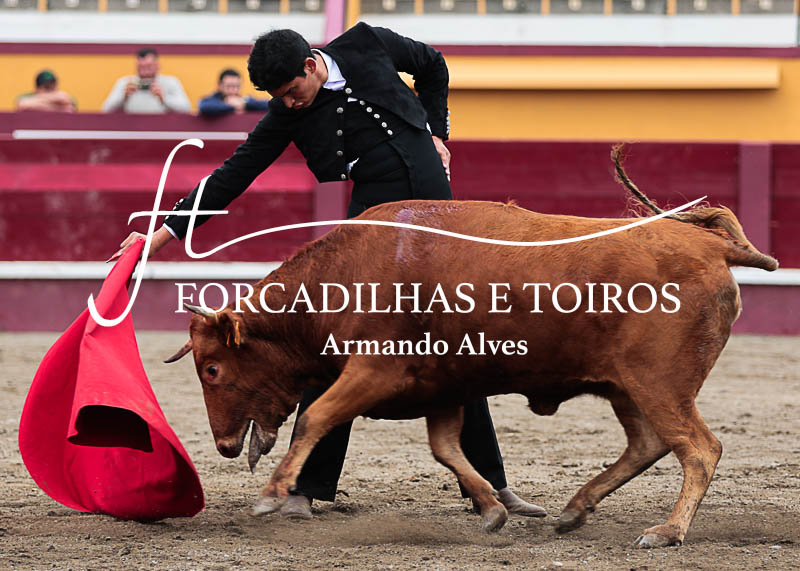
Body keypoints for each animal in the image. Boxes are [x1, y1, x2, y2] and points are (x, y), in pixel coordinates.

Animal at [166, 154, 777, 548]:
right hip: (625, 385)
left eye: (213, 369)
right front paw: (490, 512)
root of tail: (711, 244)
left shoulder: (373, 371)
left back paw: (667, 531)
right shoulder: (443, 388)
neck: (346, 273)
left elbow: (317, 416)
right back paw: (573, 511)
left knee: (698, 448)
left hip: (660, 383)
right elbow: (446, 450)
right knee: (648, 443)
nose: (223, 446)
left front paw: (271, 496)